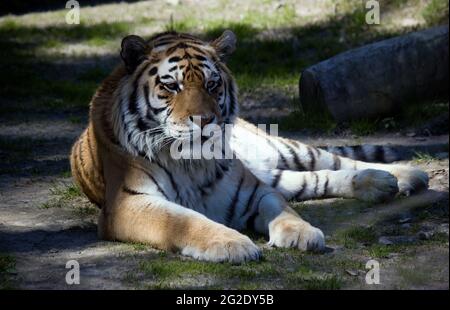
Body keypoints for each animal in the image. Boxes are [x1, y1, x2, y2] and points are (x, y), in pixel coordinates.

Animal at [70, 29, 428, 262]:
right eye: (171, 86)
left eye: (212, 84)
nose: (204, 120)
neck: (191, 163)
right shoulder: (128, 203)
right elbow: (185, 220)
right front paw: (232, 244)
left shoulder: (254, 189)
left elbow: (285, 210)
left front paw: (301, 232)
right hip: (275, 172)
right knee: (315, 179)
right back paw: (385, 183)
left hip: (278, 150)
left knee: (335, 162)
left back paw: (403, 175)